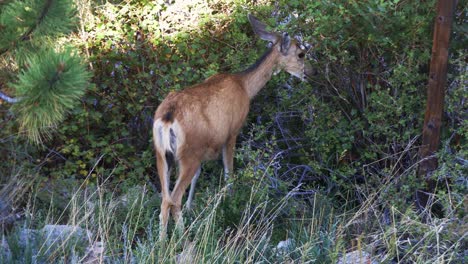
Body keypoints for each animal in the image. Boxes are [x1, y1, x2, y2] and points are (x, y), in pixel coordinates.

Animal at [154, 13, 314, 238]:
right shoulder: (232, 133)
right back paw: (182, 238)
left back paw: (161, 241)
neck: (245, 87)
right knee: (173, 199)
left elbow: (198, 177)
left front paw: (191, 206)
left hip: (162, 155)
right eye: (301, 54)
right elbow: (229, 172)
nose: (311, 72)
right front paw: (230, 200)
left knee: (164, 199)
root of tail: (168, 118)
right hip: (188, 154)